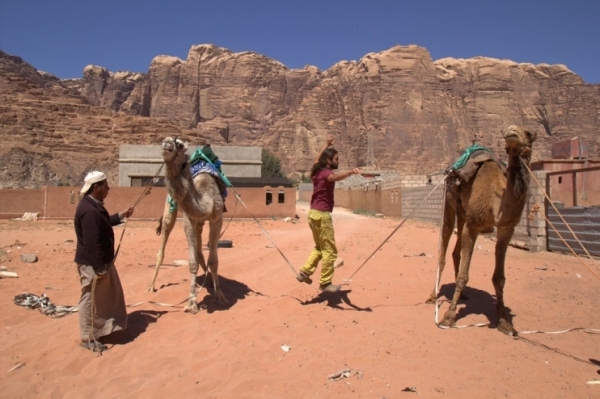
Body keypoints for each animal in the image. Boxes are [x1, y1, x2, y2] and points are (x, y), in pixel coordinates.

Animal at [159, 137, 230, 312]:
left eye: (179, 145)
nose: (166, 142)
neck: (206, 199)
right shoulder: (188, 220)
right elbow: (192, 262)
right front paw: (191, 301)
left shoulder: (217, 219)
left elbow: (213, 261)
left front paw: (220, 296)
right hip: (171, 208)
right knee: (164, 236)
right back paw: (151, 286)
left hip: (201, 223)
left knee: (200, 251)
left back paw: (210, 280)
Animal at [428, 126, 536, 338]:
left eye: (528, 133)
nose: (511, 131)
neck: (496, 202)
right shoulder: (474, 226)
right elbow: (464, 275)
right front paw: (448, 317)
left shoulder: (506, 229)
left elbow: (499, 278)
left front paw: (504, 322)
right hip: (449, 203)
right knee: (444, 247)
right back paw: (433, 296)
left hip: (463, 212)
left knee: (456, 251)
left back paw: (463, 294)